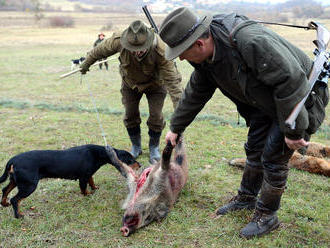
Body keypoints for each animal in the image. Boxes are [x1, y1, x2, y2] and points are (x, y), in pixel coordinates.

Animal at [0, 144, 140, 218]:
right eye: (131, 160)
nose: (139, 165)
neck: (99, 153)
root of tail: (13, 160)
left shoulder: (88, 174)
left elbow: (92, 181)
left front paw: (94, 188)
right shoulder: (83, 177)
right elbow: (84, 188)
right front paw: (87, 195)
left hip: (16, 181)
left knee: (5, 190)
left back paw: (4, 203)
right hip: (29, 185)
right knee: (15, 199)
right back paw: (18, 215)